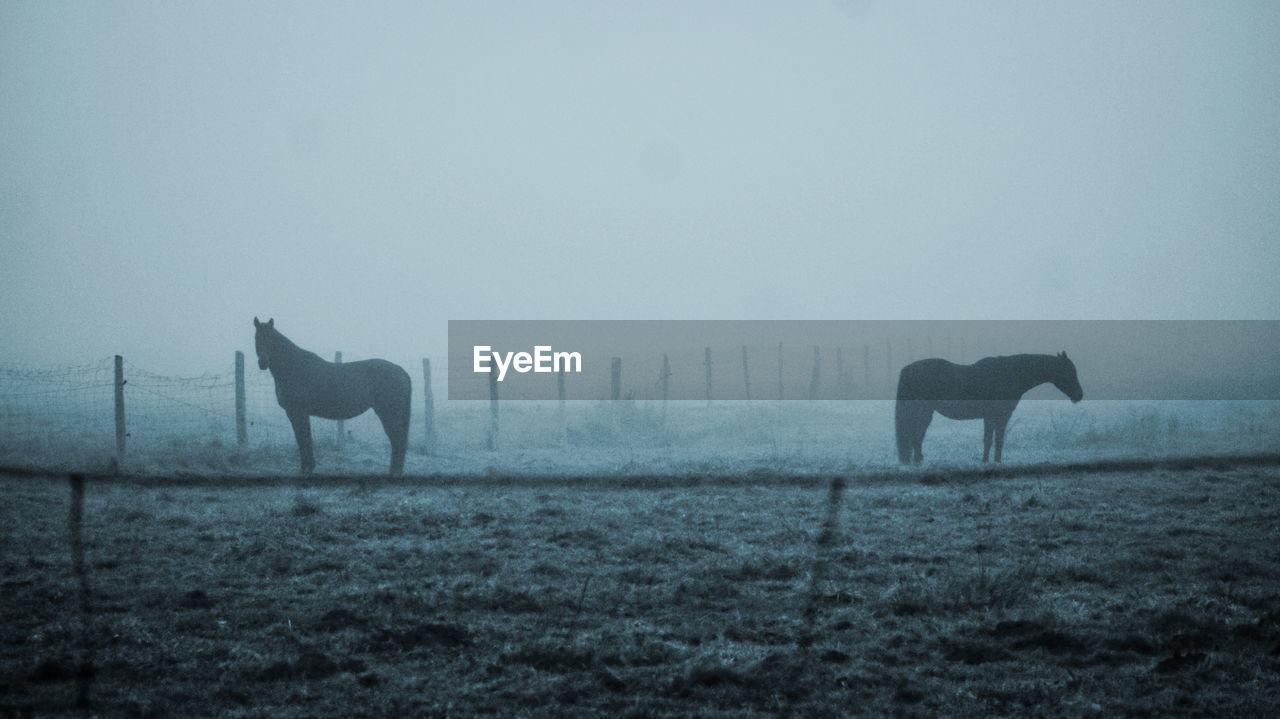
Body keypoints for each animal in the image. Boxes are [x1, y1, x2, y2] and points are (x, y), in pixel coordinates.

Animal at [249, 316, 409, 473]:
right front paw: (305, 467)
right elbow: (300, 438)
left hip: (389, 414)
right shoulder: (292, 413)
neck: (294, 368)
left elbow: (304, 438)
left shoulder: (299, 412)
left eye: (271, 338)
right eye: (256, 338)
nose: (263, 363)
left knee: (397, 440)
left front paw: (308, 468)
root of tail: (401, 371)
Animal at [896, 350, 1085, 465]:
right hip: (923, 412)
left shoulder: (993, 417)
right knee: (916, 435)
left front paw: (991, 461)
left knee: (916, 435)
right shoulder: (999, 416)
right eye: (1068, 371)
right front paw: (991, 461)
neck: (1007, 375)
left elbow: (993, 439)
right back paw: (918, 461)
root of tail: (908, 369)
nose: (1079, 395)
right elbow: (993, 439)